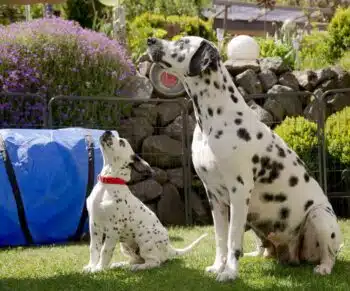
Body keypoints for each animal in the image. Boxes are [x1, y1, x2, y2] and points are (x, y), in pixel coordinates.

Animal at [83, 131, 206, 274]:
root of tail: (169, 247)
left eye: (121, 142)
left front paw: (99, 269)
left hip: (144, 238)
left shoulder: (114, 228)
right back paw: (121, 265)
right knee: (136, 259)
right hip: (125, 245)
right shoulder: (94, 225)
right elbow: (94, 248)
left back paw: (137, 268)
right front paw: (90, 266)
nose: (107, 131)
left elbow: (105, 250)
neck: (108, 183)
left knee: (154, 262)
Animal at [146, 36, 344, 282]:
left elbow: (232, 240)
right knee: (264, 251)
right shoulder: (214, 196)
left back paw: (323, 268)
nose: (150, 40)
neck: (215, 118)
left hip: (320, 216)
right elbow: (221, 239)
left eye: (182, 43)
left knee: (330, 255)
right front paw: (217, 267)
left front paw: (229, 272)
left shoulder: (238, 192)